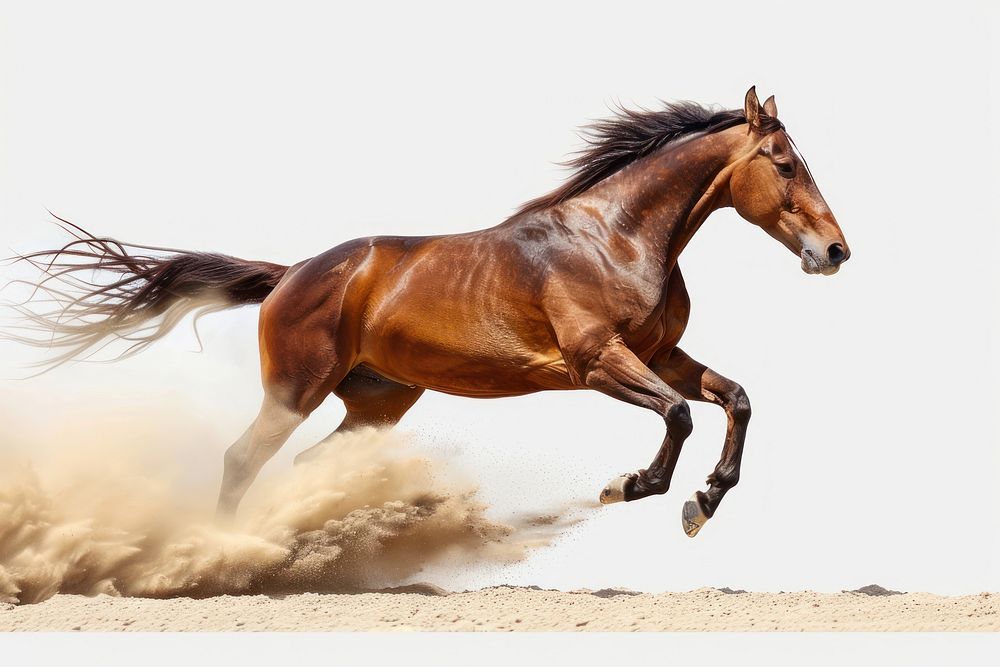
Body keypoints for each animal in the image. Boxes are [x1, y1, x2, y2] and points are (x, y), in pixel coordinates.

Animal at [9, 87, 852, 536]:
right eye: (784, 164)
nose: (836, 251)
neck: (612, 236)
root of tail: (290, 275)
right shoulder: (596, 361)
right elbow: (677, 415)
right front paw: (632, 487)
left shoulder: (661, 353)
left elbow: (734, 398)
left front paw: (704, 502)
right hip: (295, 392)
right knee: (242, 458)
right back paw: (224, 550)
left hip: (377, 402)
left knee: (312, 464)